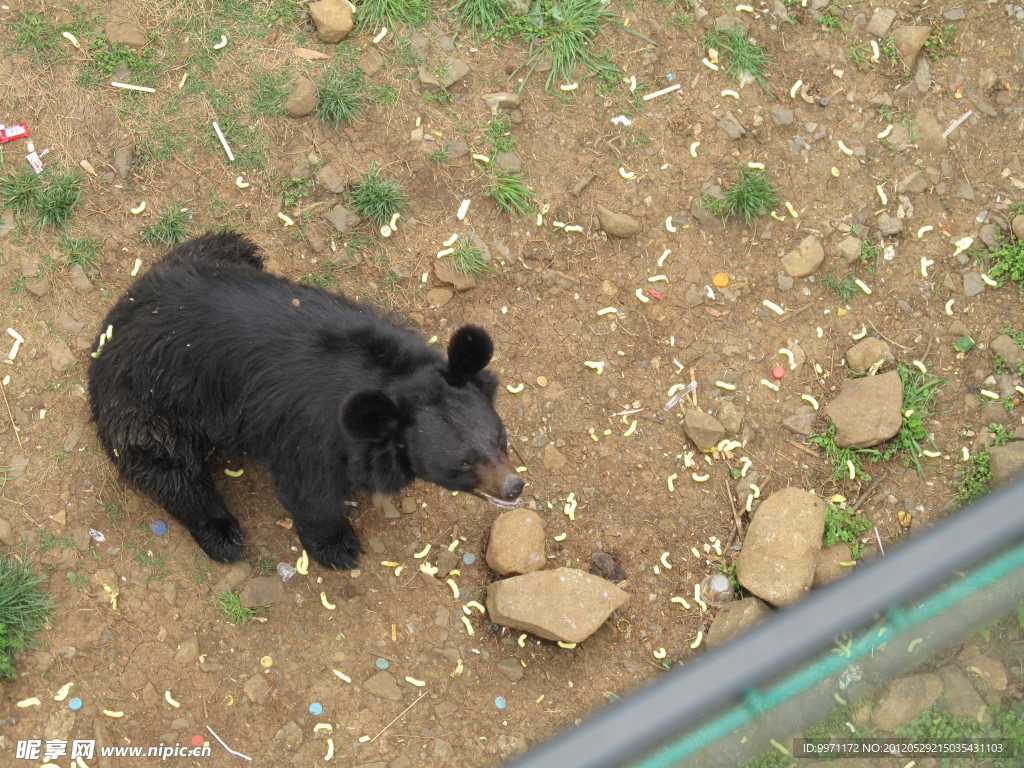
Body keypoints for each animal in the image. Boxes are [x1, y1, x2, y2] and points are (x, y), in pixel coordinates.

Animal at [87, 231, 524, 569]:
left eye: (499, 439)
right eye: (463, 463)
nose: (514, 487)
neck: (392, 378)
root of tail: (112, 326)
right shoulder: (308, 433)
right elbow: (309, 493)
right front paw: (339, 548)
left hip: (214, 251)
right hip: (147, 406)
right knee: (170, 471)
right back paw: (222, 534)